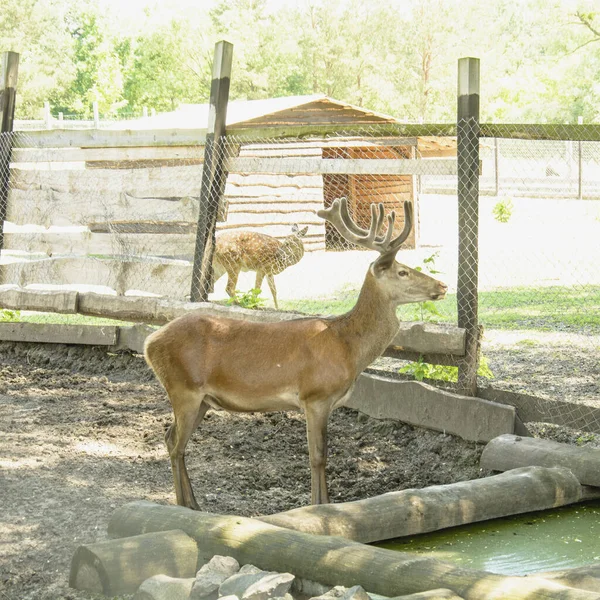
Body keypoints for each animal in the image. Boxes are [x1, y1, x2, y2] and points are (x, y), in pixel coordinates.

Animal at [144, 200, 446, 506]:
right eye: (403, 271)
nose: (442, 286)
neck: (347, 347)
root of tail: (149, 342)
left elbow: (323, 456)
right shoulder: (315, 396)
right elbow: (318, 457)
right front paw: (318, 506)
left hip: (203, 399)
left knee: (170, 437)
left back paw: (192, 504)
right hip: (183, 388)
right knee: (175, 444)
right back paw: (186, 505)